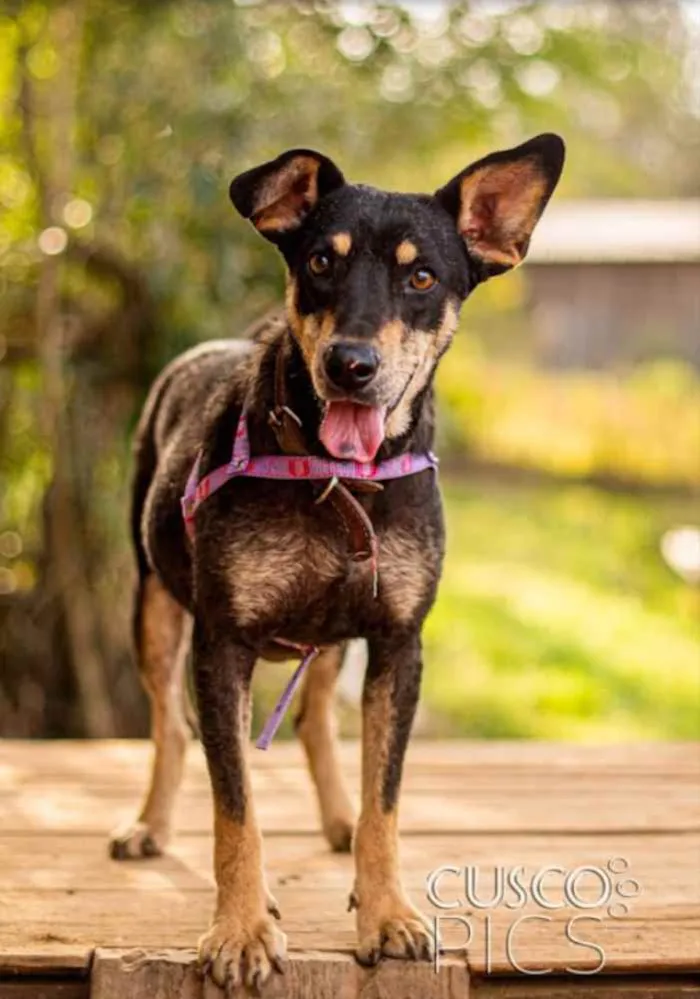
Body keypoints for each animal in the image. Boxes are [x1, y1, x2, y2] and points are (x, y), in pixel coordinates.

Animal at [112, 133, 568, 992]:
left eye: (422, 276)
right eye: (322, 260)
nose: (350, 363)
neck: (340, 477)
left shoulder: (397, 643)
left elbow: (383, 798)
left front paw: (386, 913)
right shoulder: (222, 644)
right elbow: (236, 808)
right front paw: (241, 929)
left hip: (326, 642)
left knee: (320, 720)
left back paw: (334, 821)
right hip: (152, 604)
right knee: (170, 728)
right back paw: (148, 825)